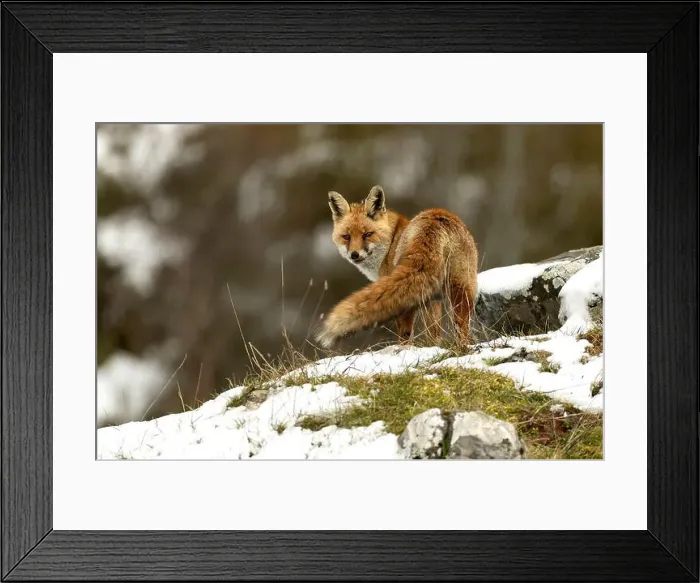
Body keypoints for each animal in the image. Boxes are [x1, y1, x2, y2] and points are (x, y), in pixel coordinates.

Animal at [315, 184, 479, 349]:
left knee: (405, 332)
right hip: (462, 286)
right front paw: (434, 347)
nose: (354, 255)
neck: (390, 243)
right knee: (462, 325)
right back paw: (464, 346)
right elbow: (434, 333)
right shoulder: (433, 298)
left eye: (367, 234)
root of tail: (435, 219)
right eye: (346, 237)